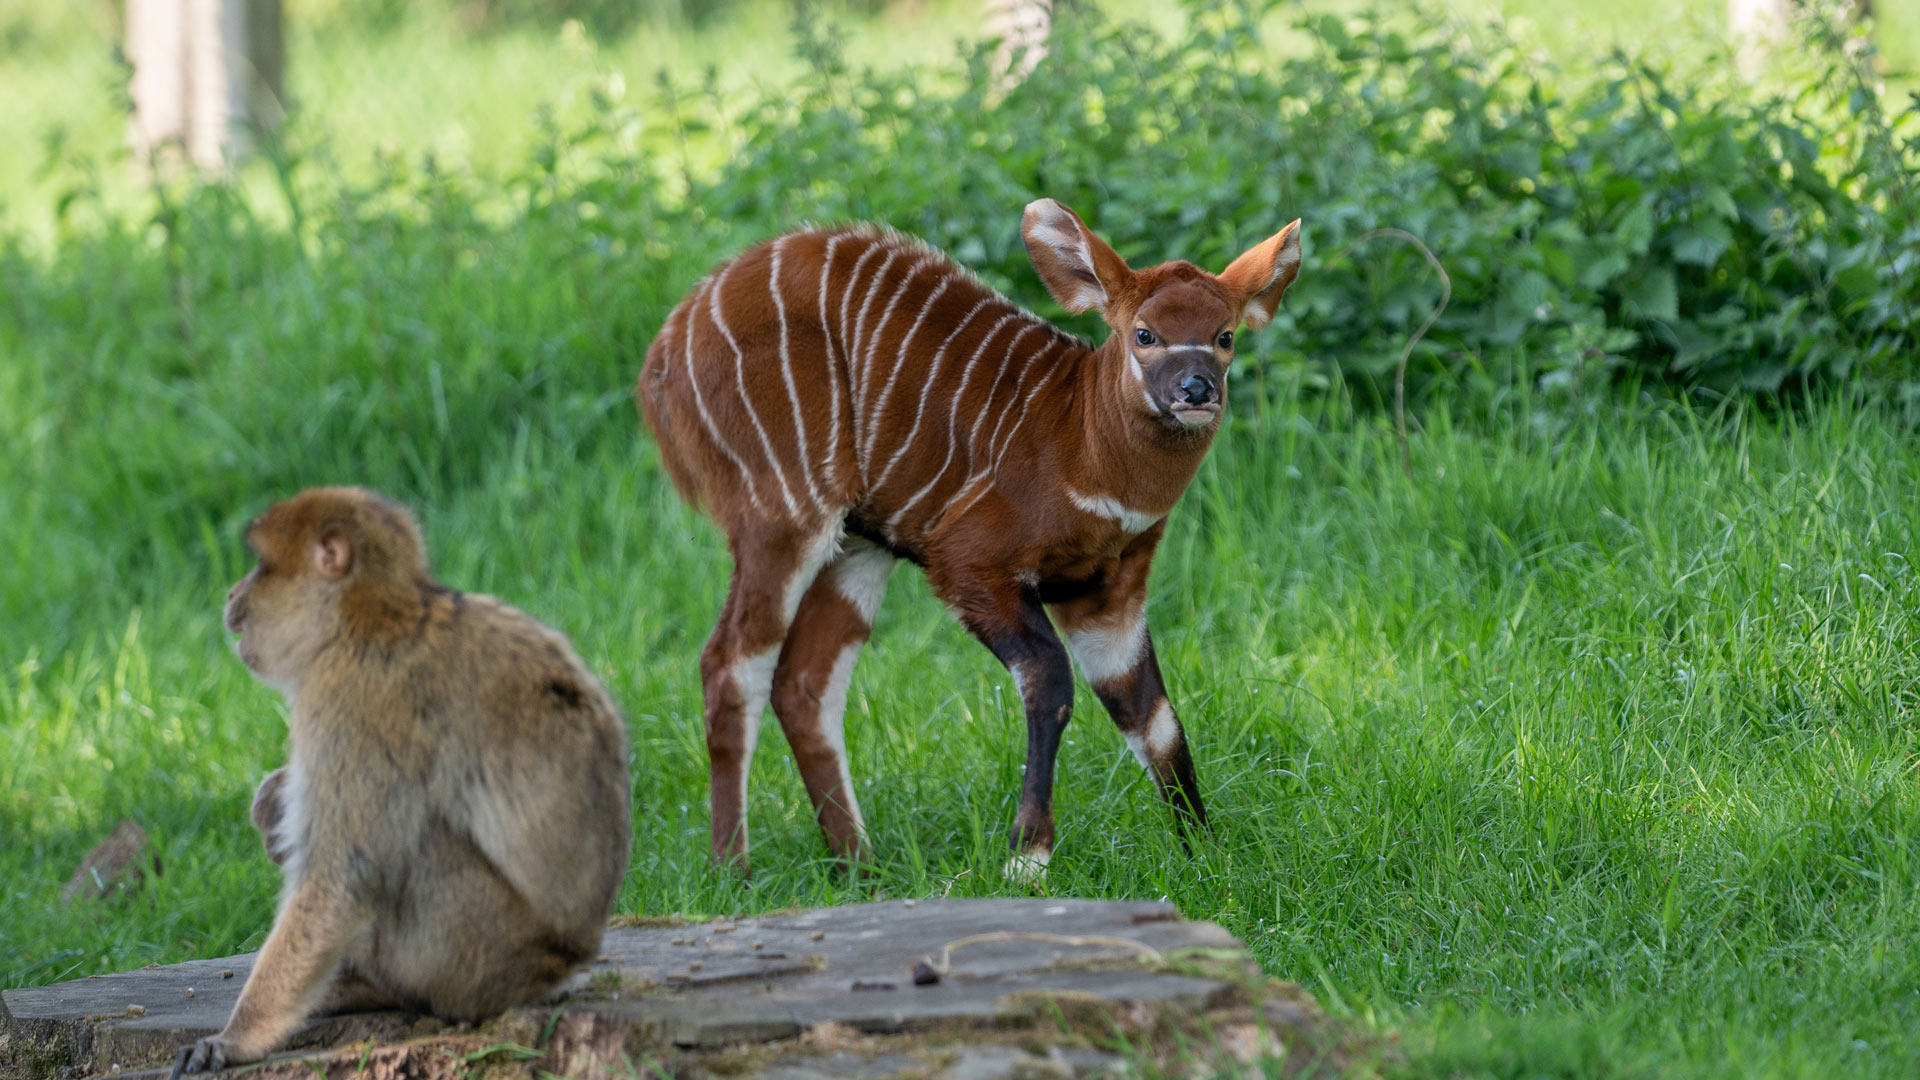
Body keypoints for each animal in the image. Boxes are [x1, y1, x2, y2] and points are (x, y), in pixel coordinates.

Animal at [171, 486, 632, 1078]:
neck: (373, 618)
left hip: (482, 952)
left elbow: (342, 877)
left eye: (261, 566)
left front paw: (237, 1039)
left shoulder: (349, 698)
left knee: (412, 845)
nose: (234, 592)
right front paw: (271, 797)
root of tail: (570, 958)